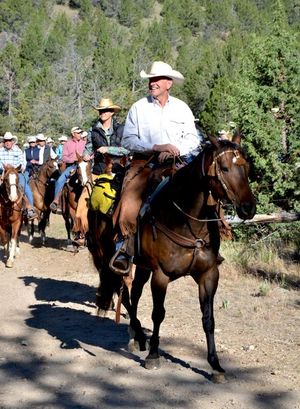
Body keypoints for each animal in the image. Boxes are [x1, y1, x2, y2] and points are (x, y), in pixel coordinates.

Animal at [86, 133, 255, 380]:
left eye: (247, 167)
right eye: (224, 168)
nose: (248, 208)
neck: (185, 220)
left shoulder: (209, 275)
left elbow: (209, 319)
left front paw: (215, 365)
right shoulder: (161, 275)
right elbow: (158, 314)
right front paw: (154, 356)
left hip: (142, 266)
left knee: (134, 294)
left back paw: (137, 336)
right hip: (105, 258)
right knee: (124, 295)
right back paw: (140, 337)